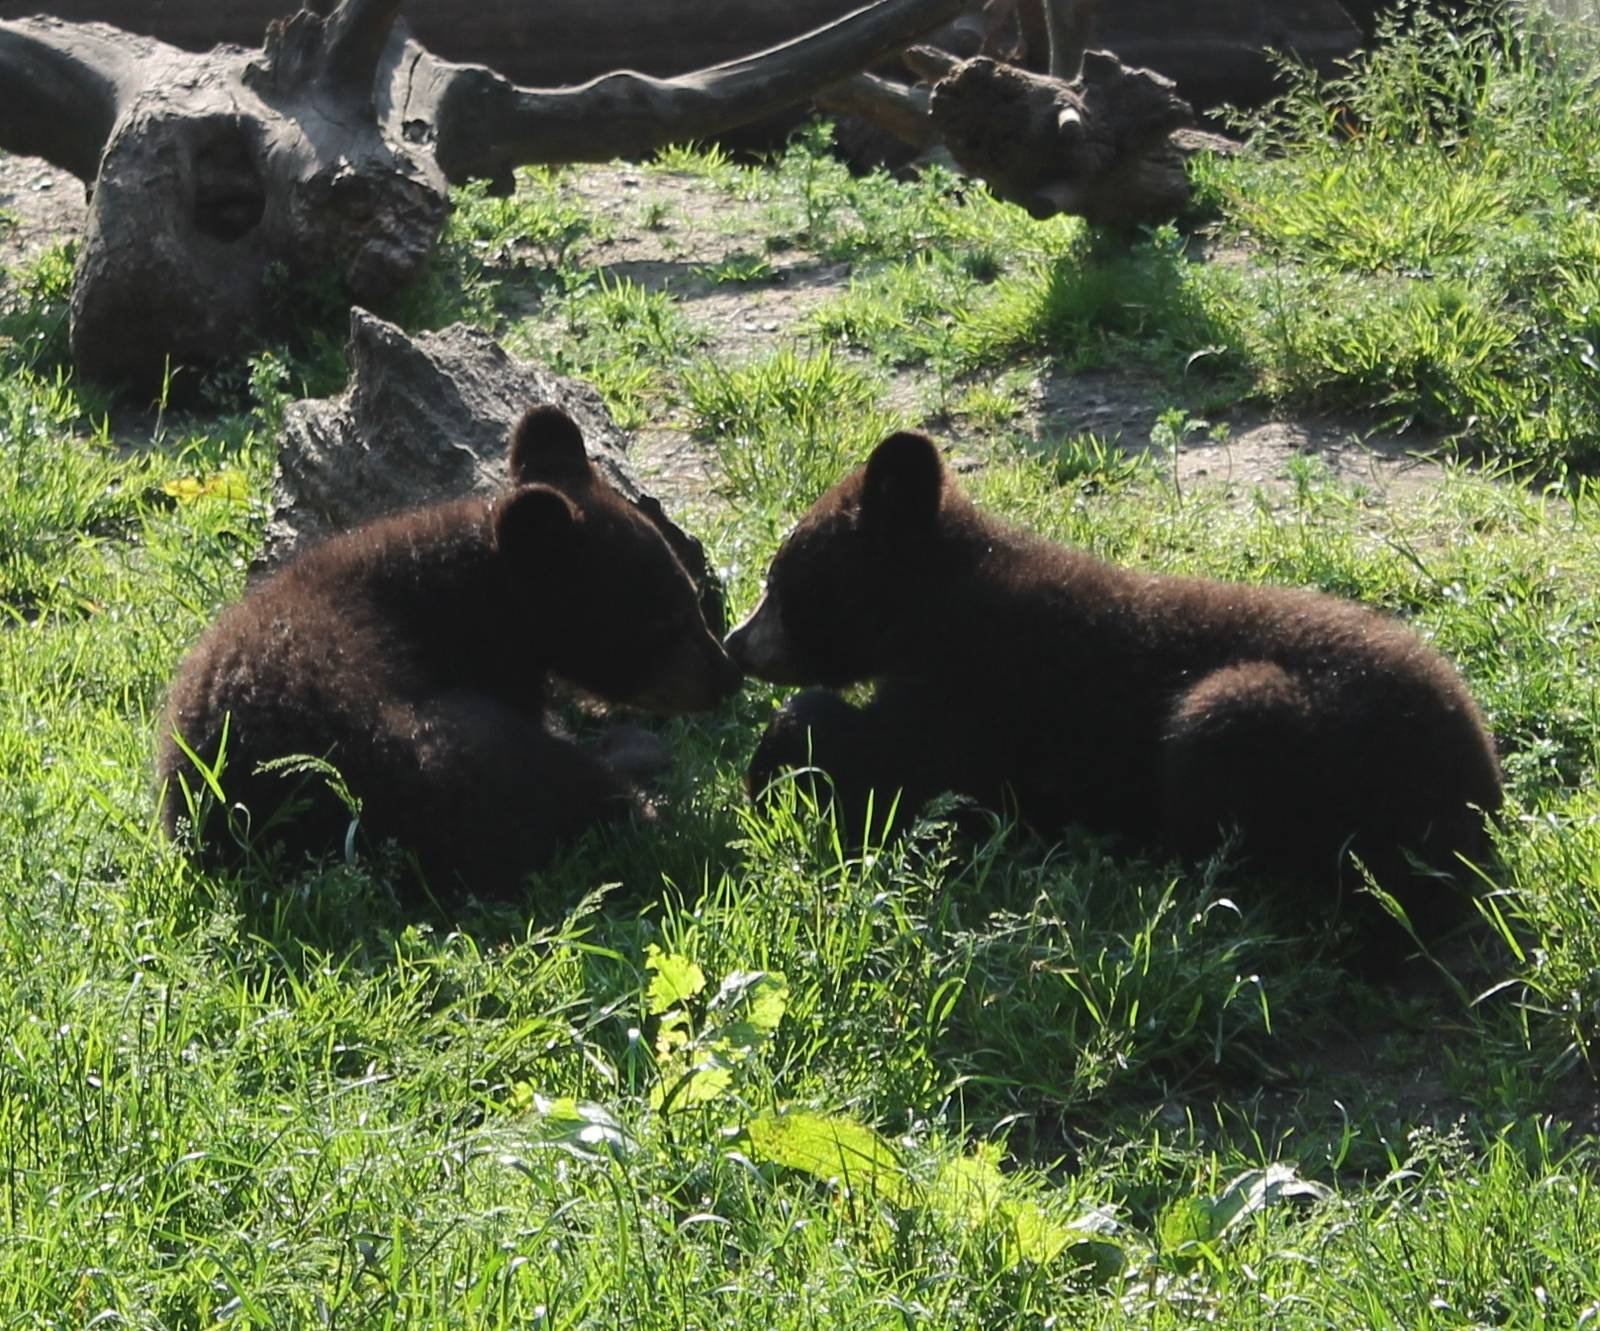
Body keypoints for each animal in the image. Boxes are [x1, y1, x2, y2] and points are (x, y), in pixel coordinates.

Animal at [726, 430, 1503, 945]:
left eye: (780, 577)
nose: (734, 641)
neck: (936, 601)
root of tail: (1481, 797)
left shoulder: (982, 684)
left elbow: (901, 777)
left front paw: (772, 764)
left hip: (1282, 728)